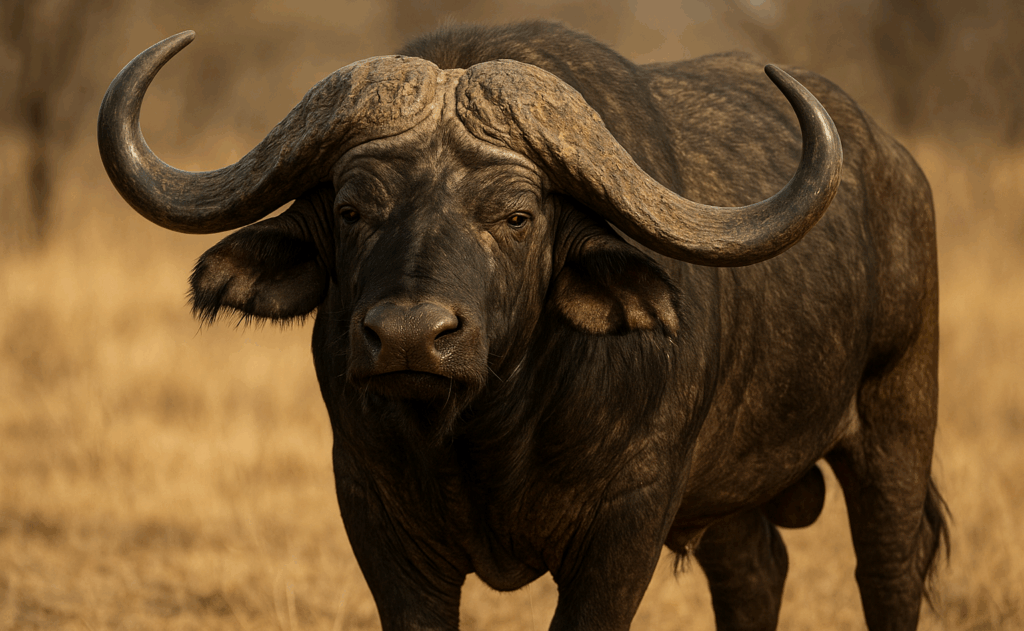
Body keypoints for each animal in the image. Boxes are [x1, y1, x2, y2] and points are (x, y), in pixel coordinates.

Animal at [98, 21, 947, 630]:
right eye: (352, 208)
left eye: (515, 214)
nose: (409, 336)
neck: (487, 433)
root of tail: (897, 169)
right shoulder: (378, 517)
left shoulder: (625, 524)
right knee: (756, 573)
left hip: (896, 423)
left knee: (889, 571)